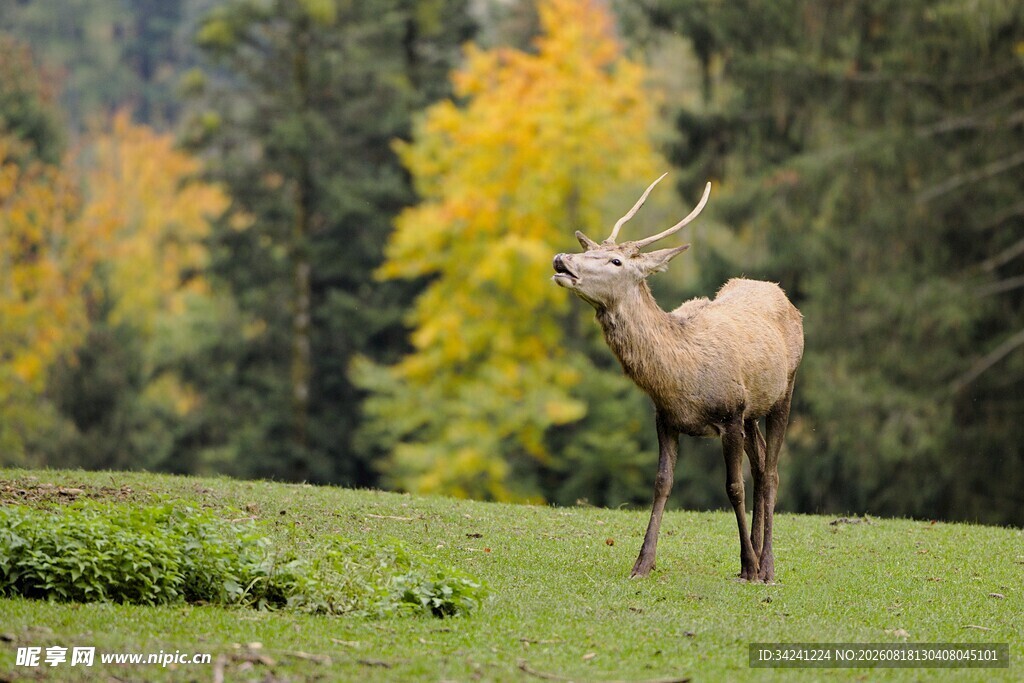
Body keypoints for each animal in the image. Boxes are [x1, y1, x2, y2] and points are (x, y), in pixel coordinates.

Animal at [551, 175, 803, 582]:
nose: (562, 260)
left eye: (616, 260)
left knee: (771, 473)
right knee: (763, 463)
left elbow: (734, 487)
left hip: (785, 390)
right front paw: (642, 563)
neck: (680, 377)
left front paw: (750, 566)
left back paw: (765, 565)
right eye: (592, 249)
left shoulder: (731, 414)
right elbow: (661, 483)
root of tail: (779, 291)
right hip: (753, 413)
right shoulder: (666, 418)